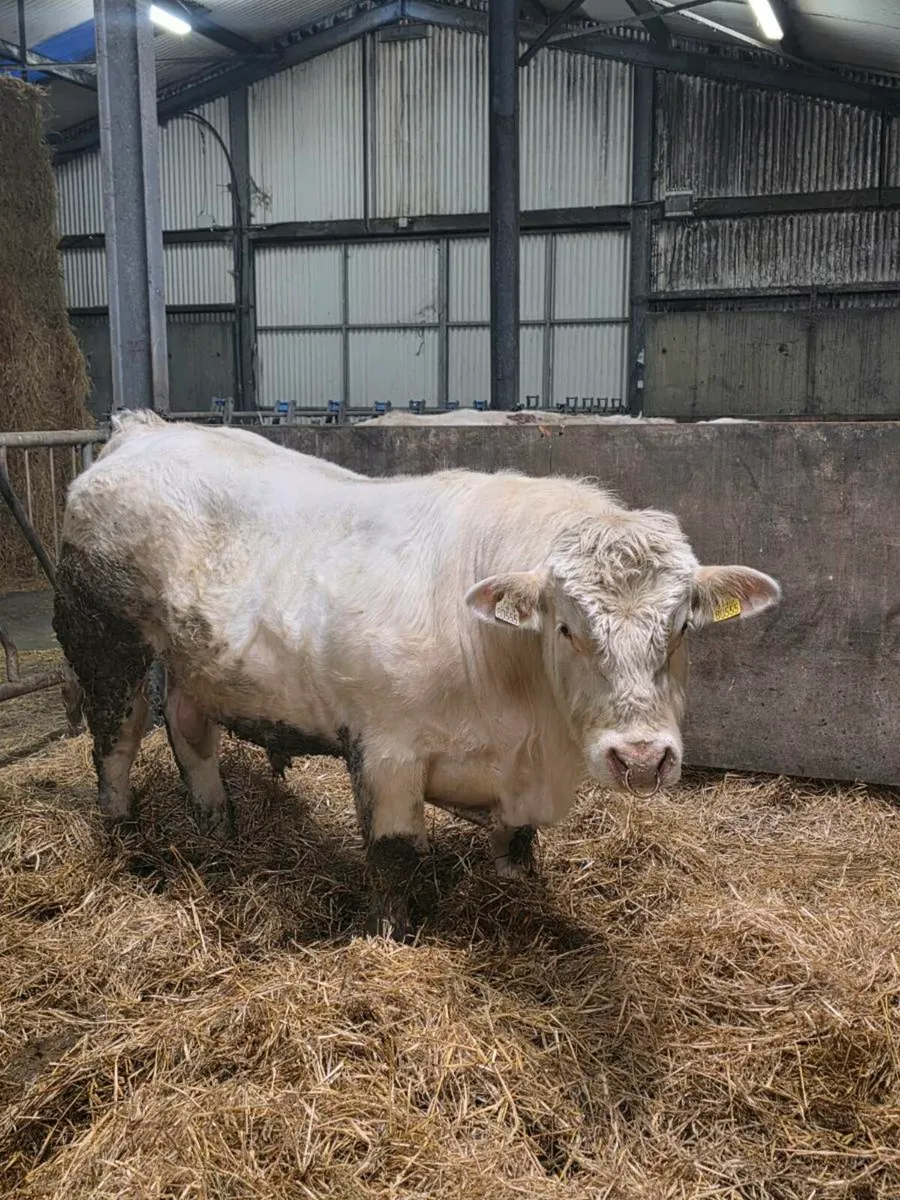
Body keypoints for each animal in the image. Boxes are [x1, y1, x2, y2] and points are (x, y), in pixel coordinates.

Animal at [53, 410, 780, 939]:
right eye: (566, 627)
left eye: (682, 626)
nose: (642, 757)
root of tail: (144, 429)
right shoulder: (386, 752)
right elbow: (394, 859)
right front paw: (389, 939)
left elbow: (517, 847)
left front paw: (520, 894)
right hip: (103, 640)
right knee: (115, 743)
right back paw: (125, 840)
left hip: (196, 662)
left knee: (189, 730)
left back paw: (217, 825)